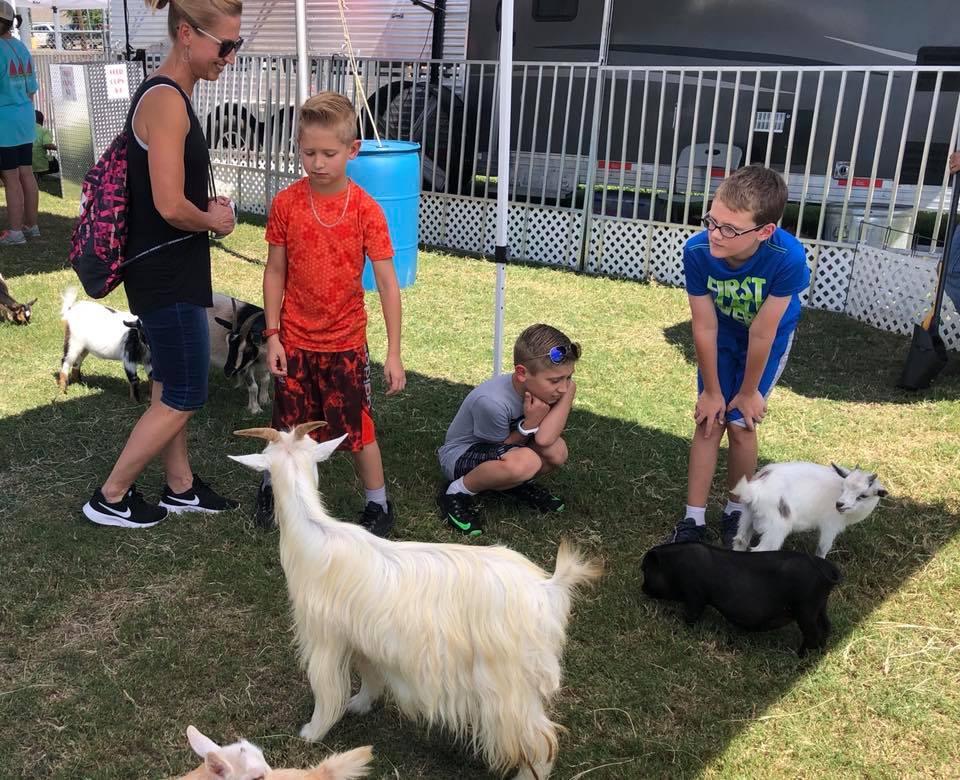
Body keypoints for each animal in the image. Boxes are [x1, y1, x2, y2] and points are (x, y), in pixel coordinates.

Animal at [229, 423, 603, 780]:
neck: (314, 534)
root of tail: (550, 587)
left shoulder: (324, 637)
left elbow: (326, 688)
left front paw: (312, 732)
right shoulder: (364, 635)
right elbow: (369, 672)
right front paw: (360, 704)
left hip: (509, 685)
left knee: (540, 739)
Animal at [641, 542, 841, 654]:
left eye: (645, 570)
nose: (642, 589)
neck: (674, 566)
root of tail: (829, 570)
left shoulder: (695, 594)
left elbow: (691, 615)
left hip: (805, 609)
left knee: (813, 634)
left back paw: (797, 656)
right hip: (819, 606)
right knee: (827, 626)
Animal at [732, 461, 888, 557]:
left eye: (863, 495)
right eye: (843, 487)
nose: (839, 504)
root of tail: (756, 488)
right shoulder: (830, 525)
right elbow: (822, 549)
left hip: (747, 515)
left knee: (740, 541)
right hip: (776, 527)